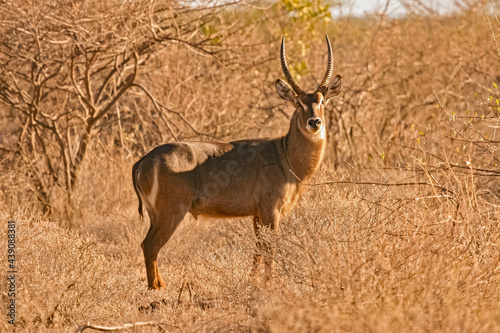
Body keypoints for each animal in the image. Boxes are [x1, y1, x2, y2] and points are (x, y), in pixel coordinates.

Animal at [132, 35, 344, 288]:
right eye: (299, 102)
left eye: (322, 101)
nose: (315, 122)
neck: (285, 155)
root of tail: (143, 159)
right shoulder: (271, 210)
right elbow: (270, 247)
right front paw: (269, 284)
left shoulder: (257, 214)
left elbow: (258, 248)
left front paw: (253, 281)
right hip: (171, 212)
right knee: (150, 245)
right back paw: (156, 288)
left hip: (155, 214)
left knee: (148, 245)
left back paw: (161, 284)